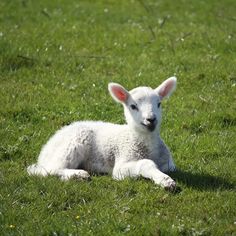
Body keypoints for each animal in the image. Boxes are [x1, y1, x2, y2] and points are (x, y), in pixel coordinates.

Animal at [27, 76, 177, 191]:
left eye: (159, 104)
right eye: (133, 106)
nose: (151, 119)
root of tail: (45, 150)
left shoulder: (169, 164)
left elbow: (169, 168)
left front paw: (165, 179)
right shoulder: (121, 165)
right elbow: (146, 164)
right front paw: (165, 181)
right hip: (72, 144)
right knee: (50, 170)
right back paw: (79, 174)